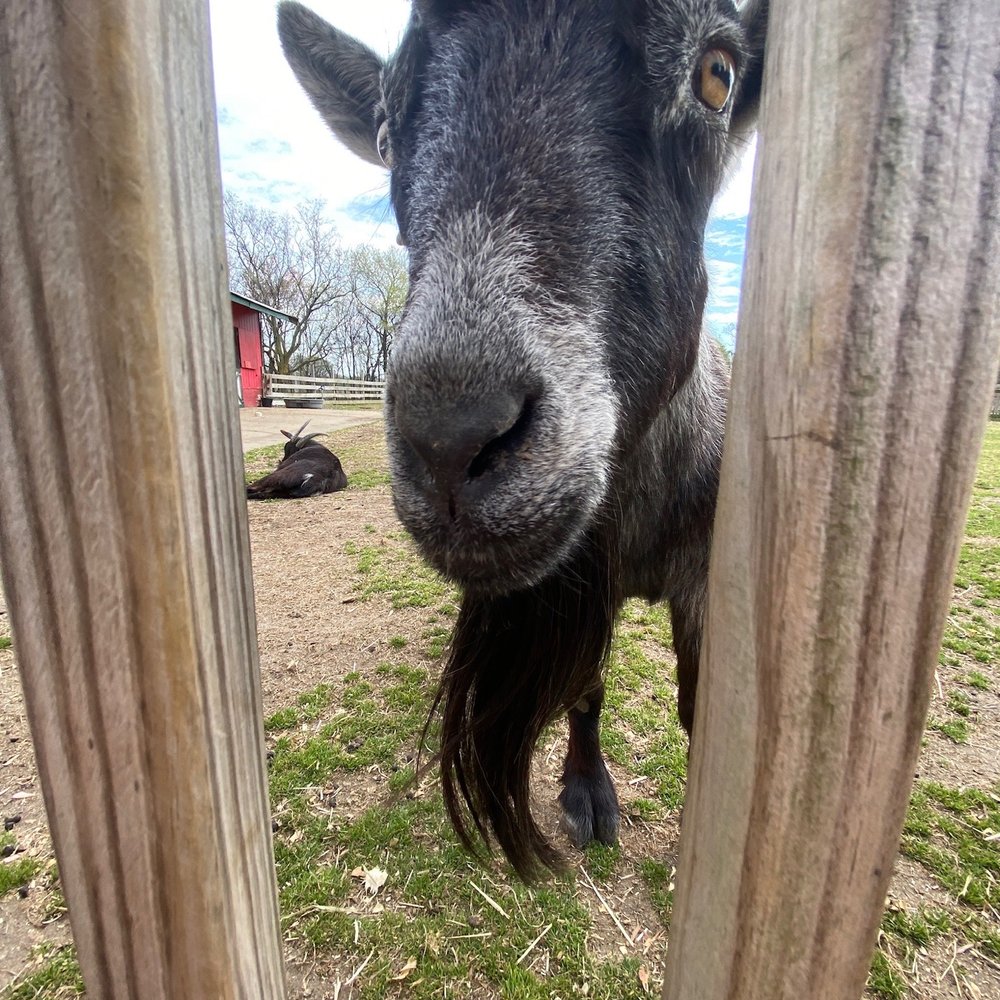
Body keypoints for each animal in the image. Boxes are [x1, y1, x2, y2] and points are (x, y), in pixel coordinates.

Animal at [278, 0, 767, 879]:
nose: (450, 438)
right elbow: (586, 687)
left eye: (717, 73)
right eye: (384, 132)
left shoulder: (707, 575)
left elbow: (695, 704)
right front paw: (587, 795)